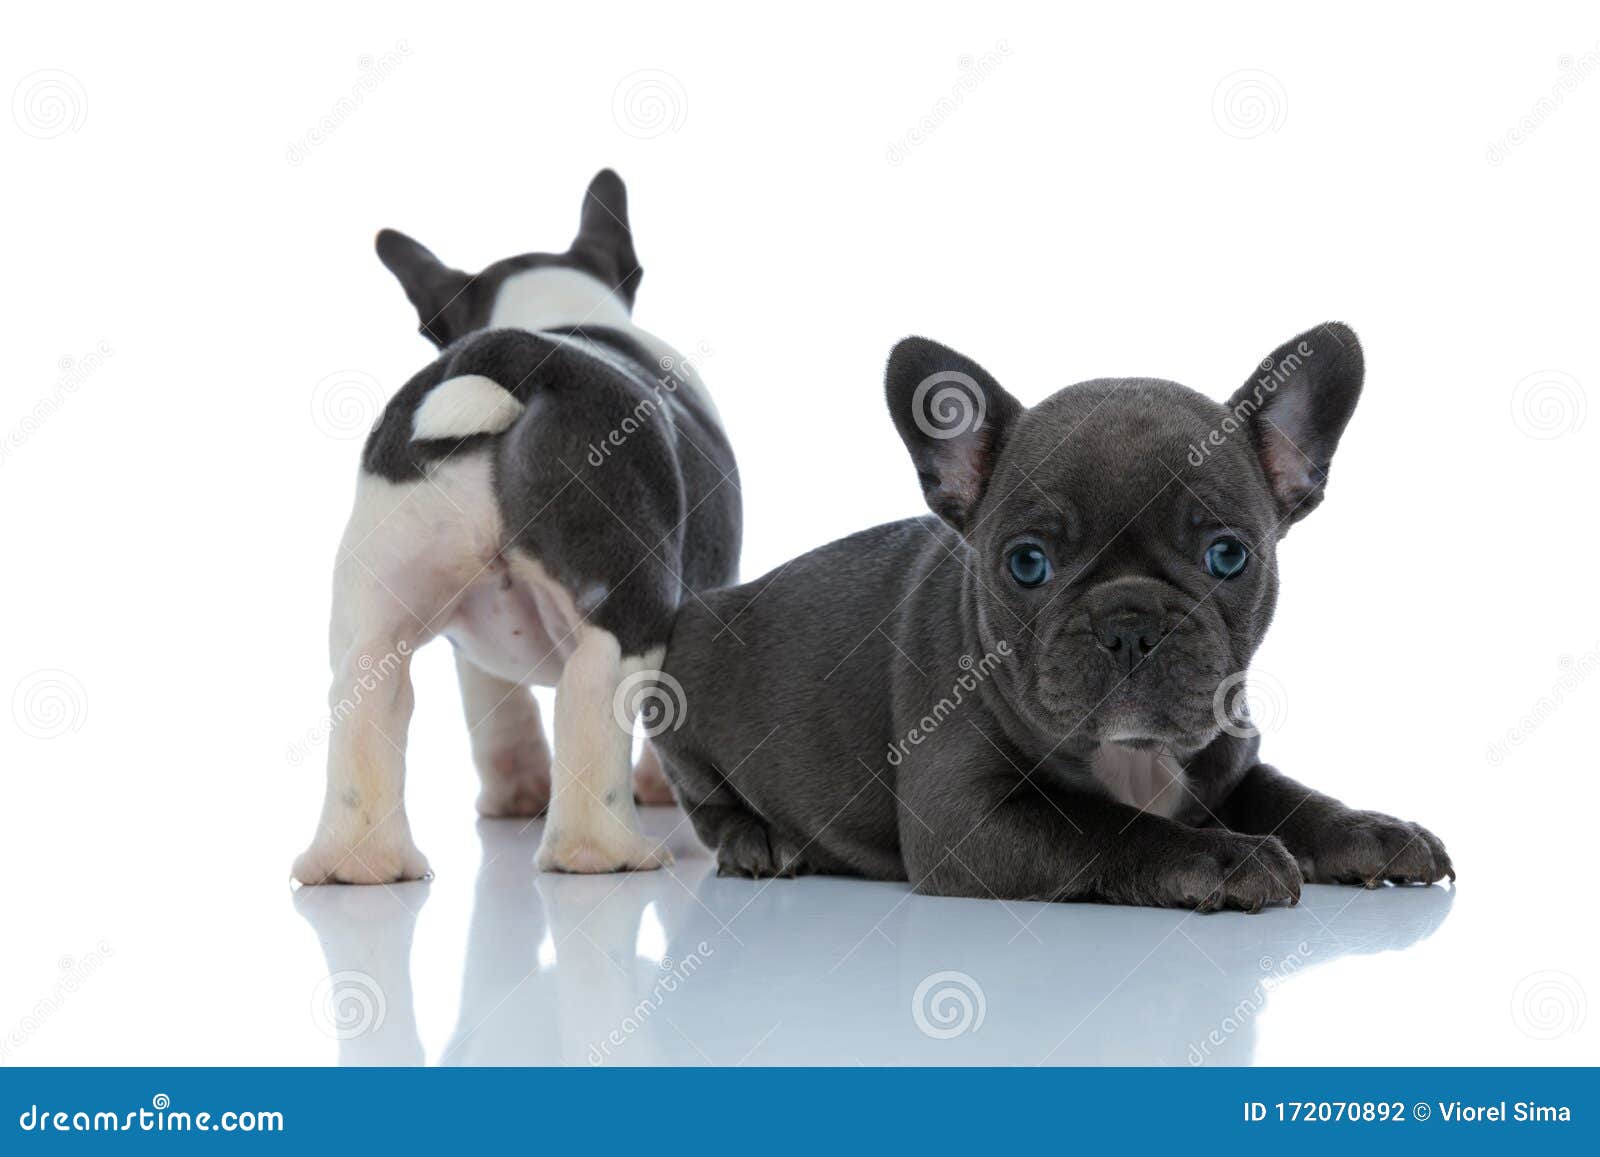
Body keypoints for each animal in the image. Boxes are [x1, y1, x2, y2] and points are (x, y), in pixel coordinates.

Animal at [294, 167, 736, 883]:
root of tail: (514, 359)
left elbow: (495, 708)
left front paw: (516, 795)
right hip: (625, 604)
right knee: (593, 706)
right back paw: (611, 854)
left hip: (374, 618)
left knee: (369, 702)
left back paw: (360, 864)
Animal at [656, 326, 1459, 915]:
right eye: (1028, 563)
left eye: (1228, 555)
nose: (1130, 623)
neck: (1134, 753)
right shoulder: (967, 815)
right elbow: (1102, 825)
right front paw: (1223, 855)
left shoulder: (1229, 759)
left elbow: (1288, 795)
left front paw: (1370, 828)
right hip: (680, 691)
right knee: (704, 800)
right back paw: (759, 840)